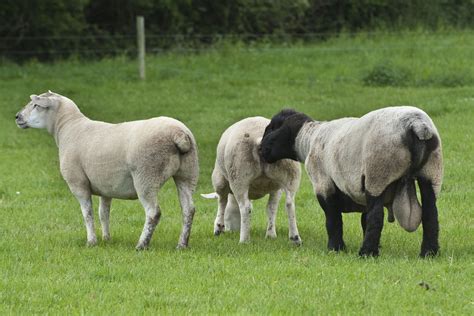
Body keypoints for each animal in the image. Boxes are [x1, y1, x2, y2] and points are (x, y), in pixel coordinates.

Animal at [13, 89, 197, 249]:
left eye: (35, 105)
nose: (17, 117)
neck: (68, 128)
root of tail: (178, 134)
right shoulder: (106, 186)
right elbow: (104, 213)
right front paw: (106, 239)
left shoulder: (78, 183)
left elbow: (87, 213)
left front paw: (91, 242)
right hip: (187, 173)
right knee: (188, 209)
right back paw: (182, 244)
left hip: (146, 176)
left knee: (153, 212)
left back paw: (142, 245)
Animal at [203, 116, 300, 244]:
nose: (230, 230)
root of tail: (261, 140)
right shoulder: (276, 188)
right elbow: (271, 208)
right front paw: (271, 234)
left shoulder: (220, 180)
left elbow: (222, 201)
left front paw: (218, 227)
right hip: (291, 173)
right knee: (290, 204)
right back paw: (295, 238)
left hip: (238, 175)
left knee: (245, 207)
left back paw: (244, 240)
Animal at [262, 106, 442, 256]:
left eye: (272, 128)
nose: (260, 150)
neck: (307, 140)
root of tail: (417, 125)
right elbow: (363, 220)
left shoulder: (323, 184)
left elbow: (333, 219)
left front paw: (336, 248)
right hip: (431, 173)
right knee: (430, 214)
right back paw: (429, 253)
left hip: (378, 172)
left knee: (377, 217)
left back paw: (367, 253)